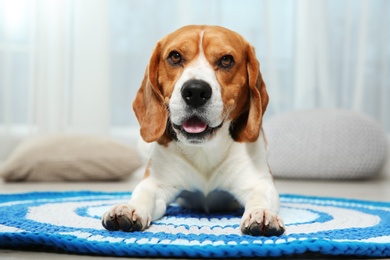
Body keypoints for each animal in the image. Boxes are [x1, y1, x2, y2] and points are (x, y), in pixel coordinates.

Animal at [102, 25, 284, 237]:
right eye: (175, 56)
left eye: (226, 60)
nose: (196, 91)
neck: (204, 150)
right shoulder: (156, 183)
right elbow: (142, 195)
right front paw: (129, 208)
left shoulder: (258, 183)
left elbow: (260, 198)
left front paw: (262, 213)